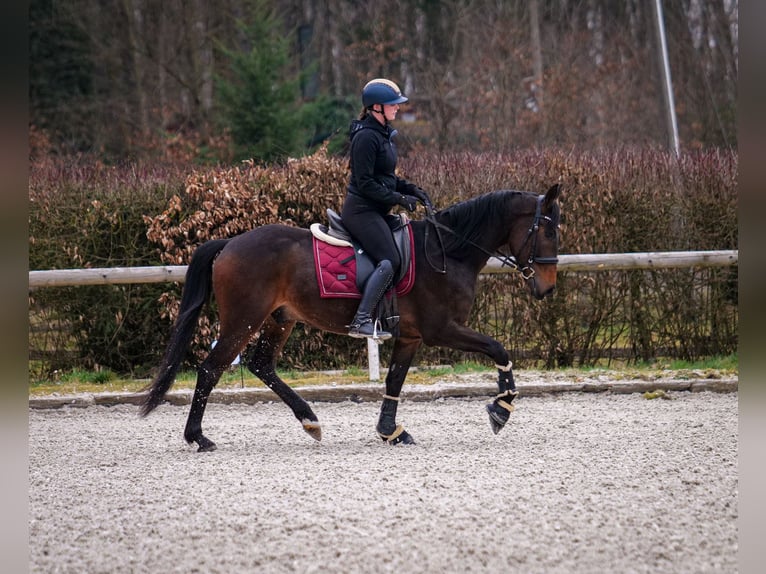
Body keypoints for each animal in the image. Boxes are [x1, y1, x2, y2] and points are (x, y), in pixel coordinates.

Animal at [141, 184, 564, 450]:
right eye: (547, 231)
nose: (548, 288)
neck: (447, 251)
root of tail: (230, 242)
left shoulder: (410, 336)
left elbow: (394, 380)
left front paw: (390, 432)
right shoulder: (441, 329)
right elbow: (498, 348)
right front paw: (501, 408)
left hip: (279, 318)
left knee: (262, 364)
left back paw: (309, 420)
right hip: (244, 319)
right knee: (211, 368)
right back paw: (198, 438)